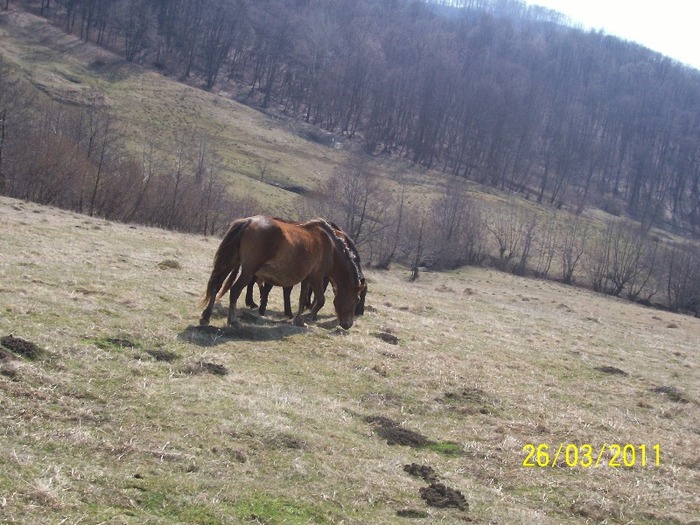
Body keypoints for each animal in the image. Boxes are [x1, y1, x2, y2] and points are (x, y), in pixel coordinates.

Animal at [197, 215, 360, 330]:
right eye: (356, 300)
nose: (348, 325)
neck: (330, 246)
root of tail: (248, 221)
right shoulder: (317, 276)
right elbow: (320, 300)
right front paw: (309, 317)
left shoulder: (307, 278)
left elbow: (302, 299)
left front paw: (298, 320)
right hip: (249, 270)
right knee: (235, 290)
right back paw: (234, 320)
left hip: (231, 262)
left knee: (216, 285)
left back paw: (206, 317)